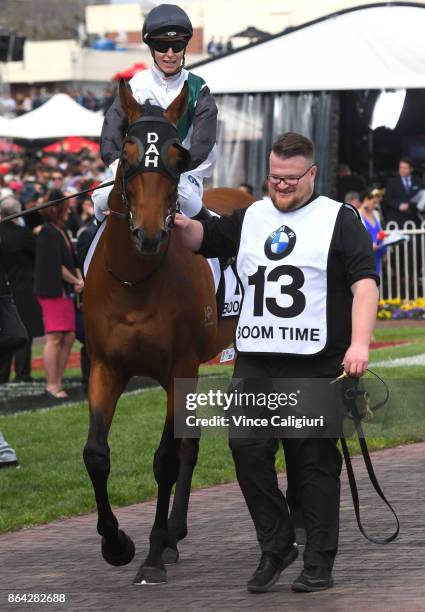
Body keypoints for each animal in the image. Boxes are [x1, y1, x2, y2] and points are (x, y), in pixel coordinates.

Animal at [83, 79, 253, 584]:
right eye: (127, 153)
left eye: (179, 157)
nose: (150, 233)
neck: (135, 282)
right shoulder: (105, 367)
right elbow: (96, 454)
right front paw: (116, 543)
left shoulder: (179, 367)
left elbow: (164, 459)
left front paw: (154, 553)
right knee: (189, 445)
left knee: (186, 447)